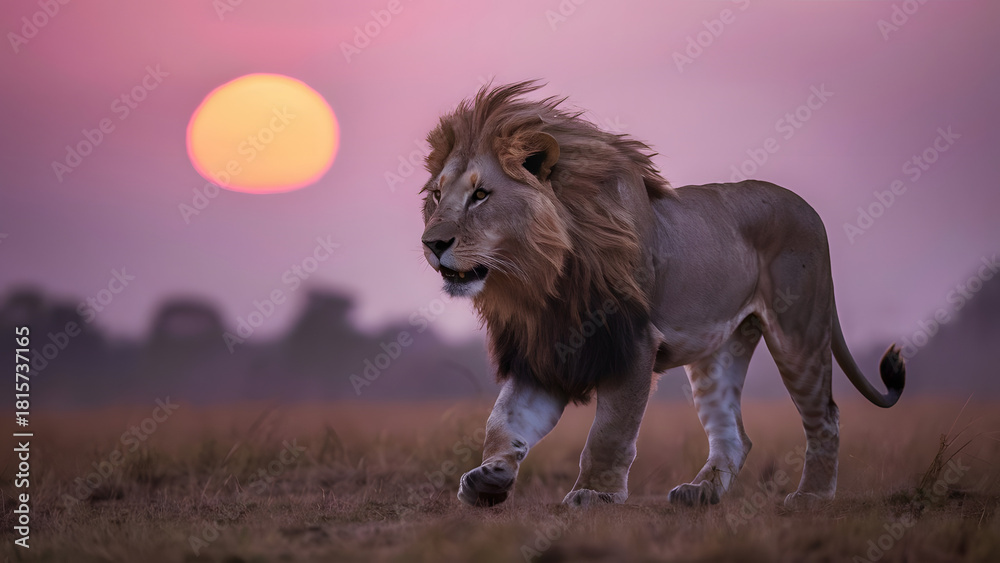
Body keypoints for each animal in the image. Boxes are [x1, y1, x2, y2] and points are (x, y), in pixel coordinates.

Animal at [418, 81, 905, 509]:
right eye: (438, 195)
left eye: (481, 195)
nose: (431, 243)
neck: (543, 281)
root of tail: (808, 208)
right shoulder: (545, 353)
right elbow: (503, 421)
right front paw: (488, 480)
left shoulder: (633, 344)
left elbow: (610, 431)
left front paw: (595, 493)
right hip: (719, 352)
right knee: (734, 435)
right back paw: (700, 492)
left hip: (798, 331)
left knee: (825, 417)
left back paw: (811, 496)